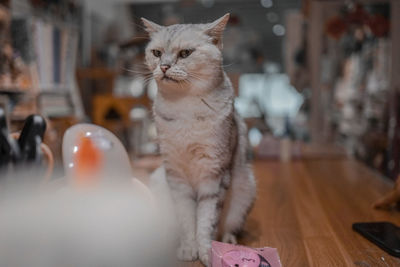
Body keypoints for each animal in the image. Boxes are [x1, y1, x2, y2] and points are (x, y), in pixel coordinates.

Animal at [143, 14, 256, 267]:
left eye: (185, 53)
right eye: (156, 53)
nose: (164, 67)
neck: (184, 107)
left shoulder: (214, 173)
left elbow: (206, 221)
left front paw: (206, 252)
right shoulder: (175, 175)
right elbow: (187, 219)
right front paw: (188, 249)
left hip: (245, 189)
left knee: (229, 227)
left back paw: (229, 242)